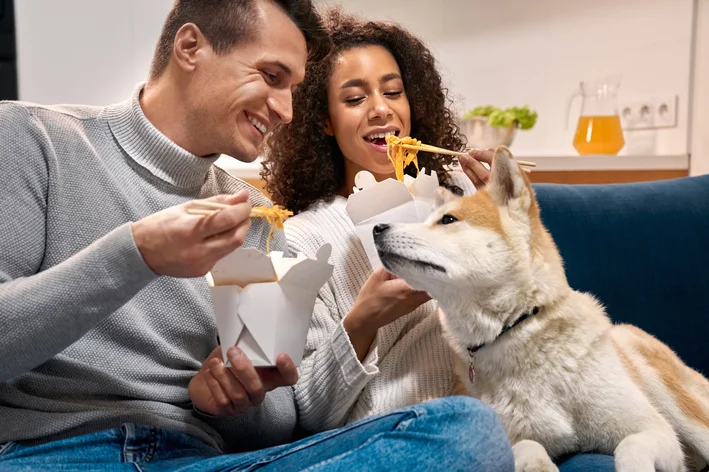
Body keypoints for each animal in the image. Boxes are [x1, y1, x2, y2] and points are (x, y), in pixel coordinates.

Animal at [370, 146, 708, 470]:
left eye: (448, 220)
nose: (377, 228)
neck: (518, 329)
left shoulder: (655, 431)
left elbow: (630, 446)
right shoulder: (515, 436)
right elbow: (529, 449)